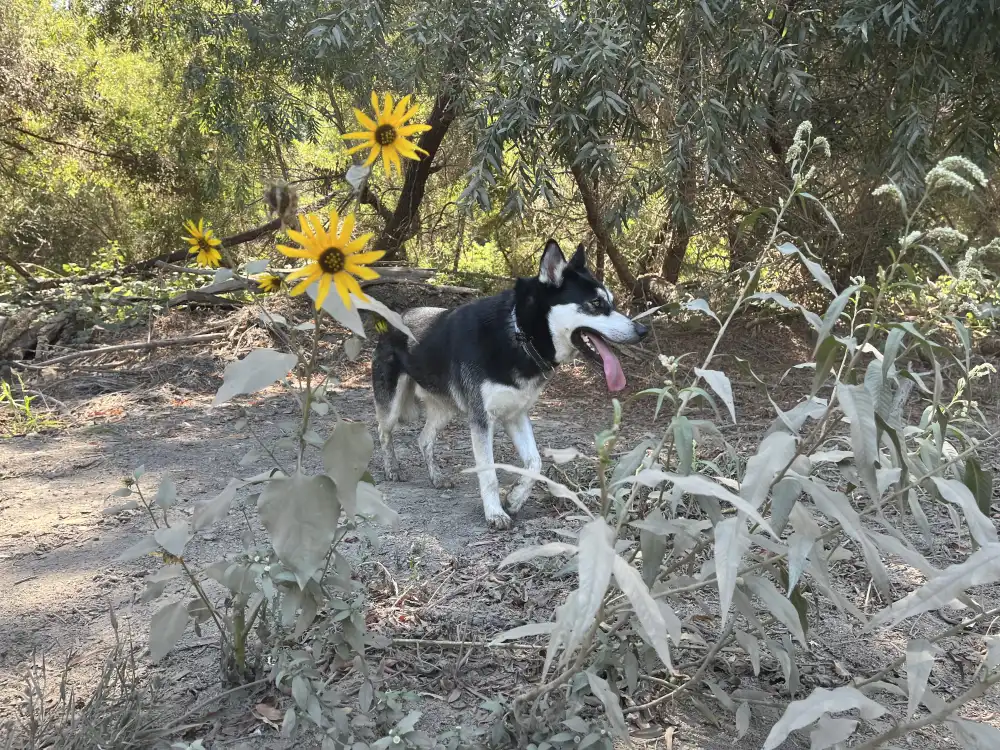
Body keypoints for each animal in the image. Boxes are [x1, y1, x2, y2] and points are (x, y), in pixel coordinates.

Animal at [374, 241, 648, 528]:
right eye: (596, 303)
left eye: (612, 302)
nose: (643, 331)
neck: (519, 334)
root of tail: (399, 316)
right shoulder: (482, 421)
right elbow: (489, 474)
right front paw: (495, 513)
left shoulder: (516, 415)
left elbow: (535, 462)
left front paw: (515, 498)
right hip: (392, 405)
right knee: (384, 433)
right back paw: (392, 469)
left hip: (445, 410)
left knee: (424, 439)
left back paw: (436, 477)